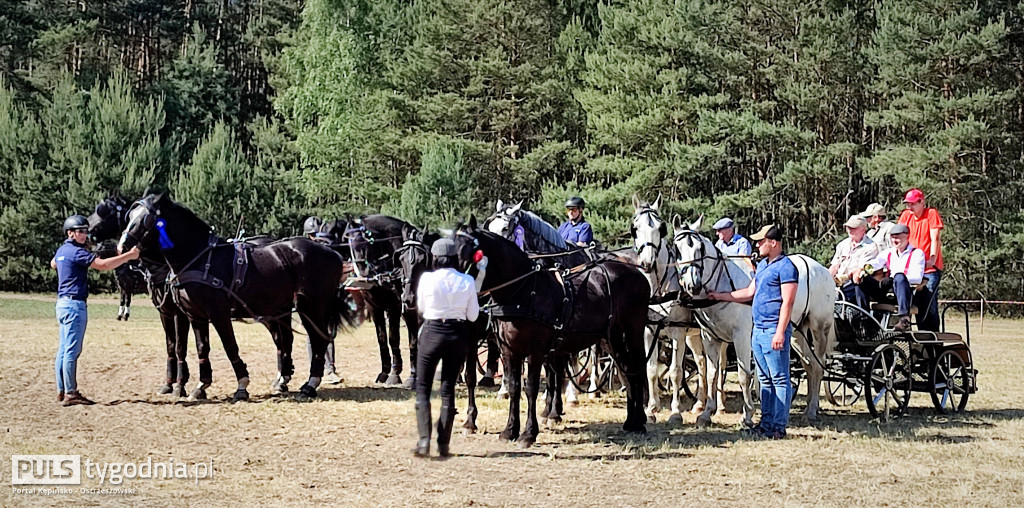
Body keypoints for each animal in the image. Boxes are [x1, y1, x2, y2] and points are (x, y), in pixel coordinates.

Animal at [116, 192, 354, 399]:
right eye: (130, 216)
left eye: (146, 219)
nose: (122, 246)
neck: (200, 259)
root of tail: (332, 252)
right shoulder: (194, 315)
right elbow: (201, 347)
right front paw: (200, 386)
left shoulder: (217, 313)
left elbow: (229, 346)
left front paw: (241, 385)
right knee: (289, 340)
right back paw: (287, 381)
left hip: (311, 307)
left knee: (319, 340)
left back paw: (310, 385)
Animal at [346, 212, 421, 387]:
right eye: (349, 243)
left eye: (366, 242)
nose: (363, 273)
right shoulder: (375, 308)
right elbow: (382, 338)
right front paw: (385, 372)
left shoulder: (395, 307)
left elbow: (394, 338)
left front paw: (395, 373)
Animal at [454, 216, 647, 446]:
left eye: (470, 252)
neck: (523, 290)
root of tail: (637, 272)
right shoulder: (508, 351)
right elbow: (513, 387)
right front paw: (509, 430)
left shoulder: (535, 351)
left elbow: (531, 388)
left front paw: (529, 433)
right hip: (612, 338)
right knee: (627, 371)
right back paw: (631, 421)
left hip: (634, 332)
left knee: (638, 370)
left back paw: (639, 421)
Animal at [626, 196, 708, 421]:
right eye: (635, 228)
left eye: (660, 228)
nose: (647, 262)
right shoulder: (648, 331)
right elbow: (652, 369)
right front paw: (652, 409)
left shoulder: (677, 333)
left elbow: (675, 372)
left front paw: (675, 411)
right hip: (694, 336)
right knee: (701, 363)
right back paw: (699, 404)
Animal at [675, 216, 835, 426]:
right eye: (677, 249)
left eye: (700, 248)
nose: (692, 285)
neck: (724, 283)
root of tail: (824, 271)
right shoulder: (709, 337)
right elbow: (711, 375)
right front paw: (706, 413)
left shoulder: (741, 336)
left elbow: (744, 375)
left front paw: (747, 416)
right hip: (797, 334)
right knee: (809, 365)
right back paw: (808, 407)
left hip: (819, 329)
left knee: (818, 366)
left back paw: (813, 409)